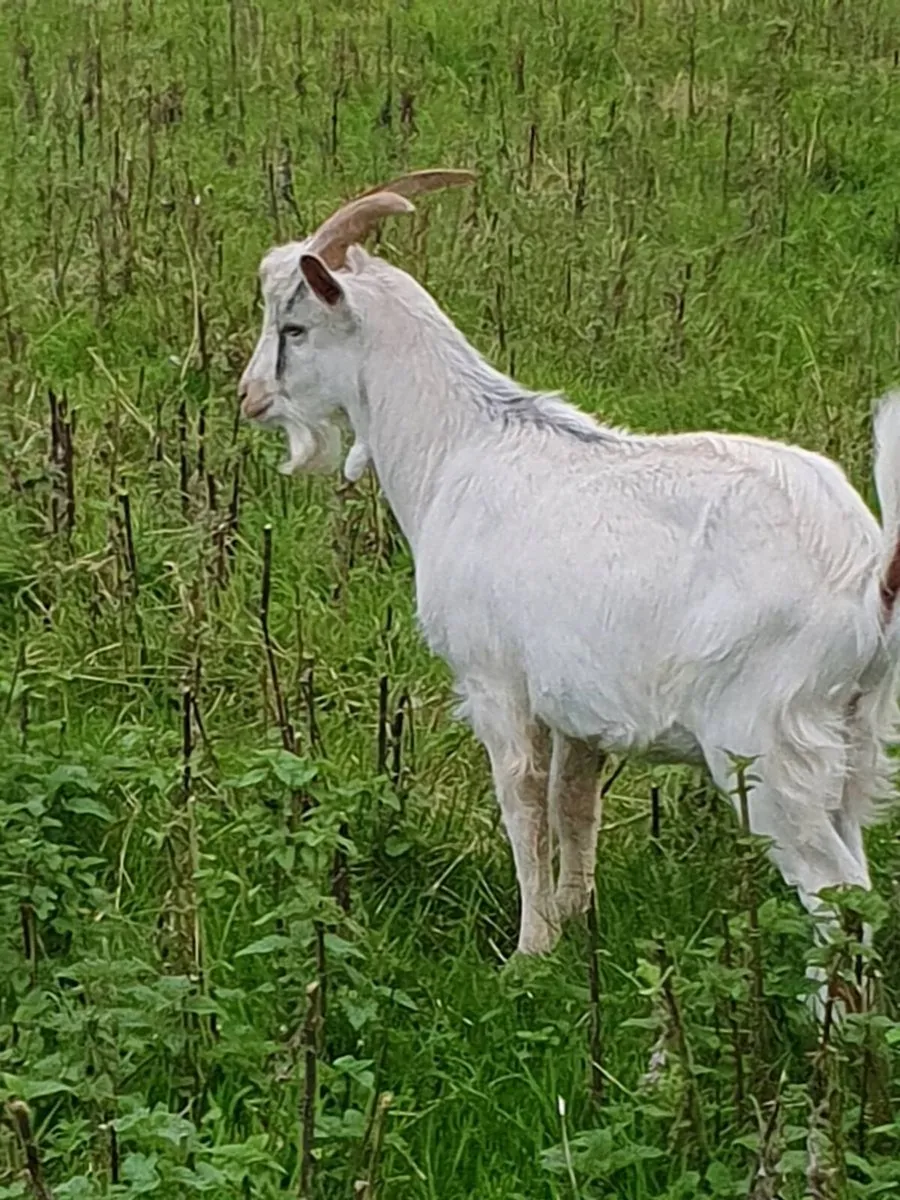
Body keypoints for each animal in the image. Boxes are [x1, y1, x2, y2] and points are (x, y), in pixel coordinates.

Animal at [238, 170, 900, 985]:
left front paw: (528, 951)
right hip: (856, 740)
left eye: (293, 328)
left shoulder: (495, 681)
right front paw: (575, 918)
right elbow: (573, 804)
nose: (248, 397)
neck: (459, 445)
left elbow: (522, 801)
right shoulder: (580, 706)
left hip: (768, 747)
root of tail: (869, 578)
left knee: (832, 890)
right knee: (860, 885)